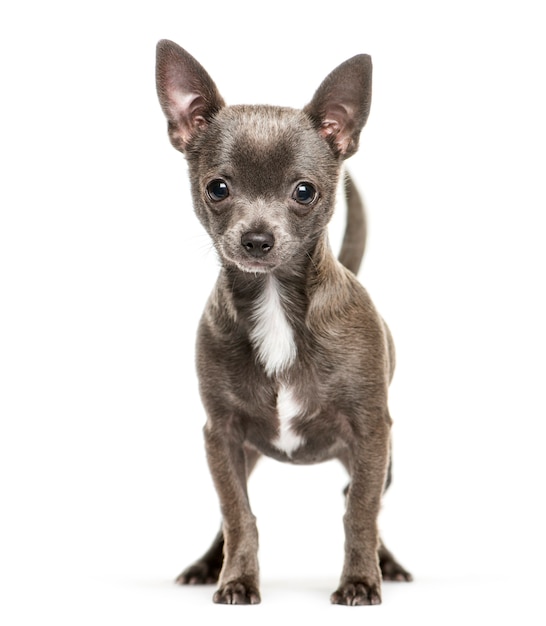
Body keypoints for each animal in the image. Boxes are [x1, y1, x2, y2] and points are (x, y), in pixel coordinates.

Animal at [153, 40, 408, 604]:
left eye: (304, 191)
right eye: (218, 188)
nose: (256, 239)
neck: (275, 302)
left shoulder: (370, 433)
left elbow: (360, 512)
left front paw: (361, 580)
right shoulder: (222, 436)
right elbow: (237, 515)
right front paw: (236, 580)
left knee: (368, 500)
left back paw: (387, 563)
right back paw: (208, 564)